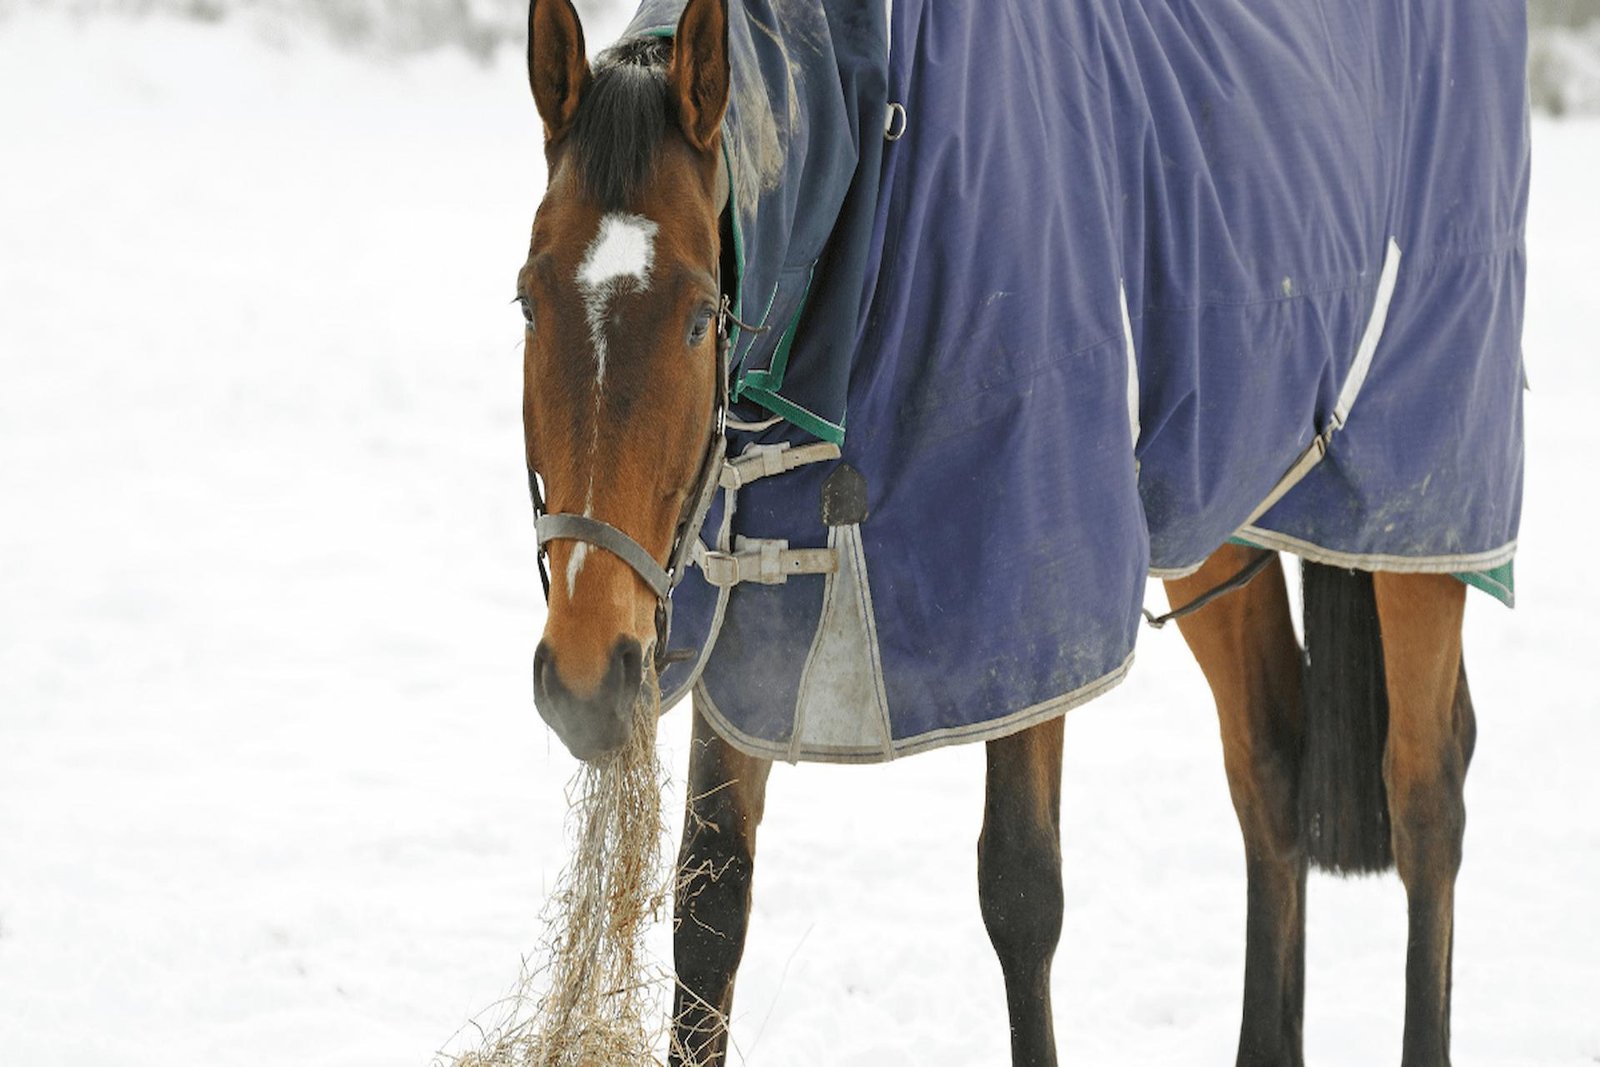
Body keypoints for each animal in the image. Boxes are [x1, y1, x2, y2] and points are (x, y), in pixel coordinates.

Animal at [515, 0, 1523, 1062]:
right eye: (528, 300)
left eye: (702, 316)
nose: (586, 675)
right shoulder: (743, 627)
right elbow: (711, 910)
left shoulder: (1035, 617)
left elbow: (1023, 897)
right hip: (1222, 519)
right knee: (1271, 762)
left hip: (1422, 520)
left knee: (1425, 795)